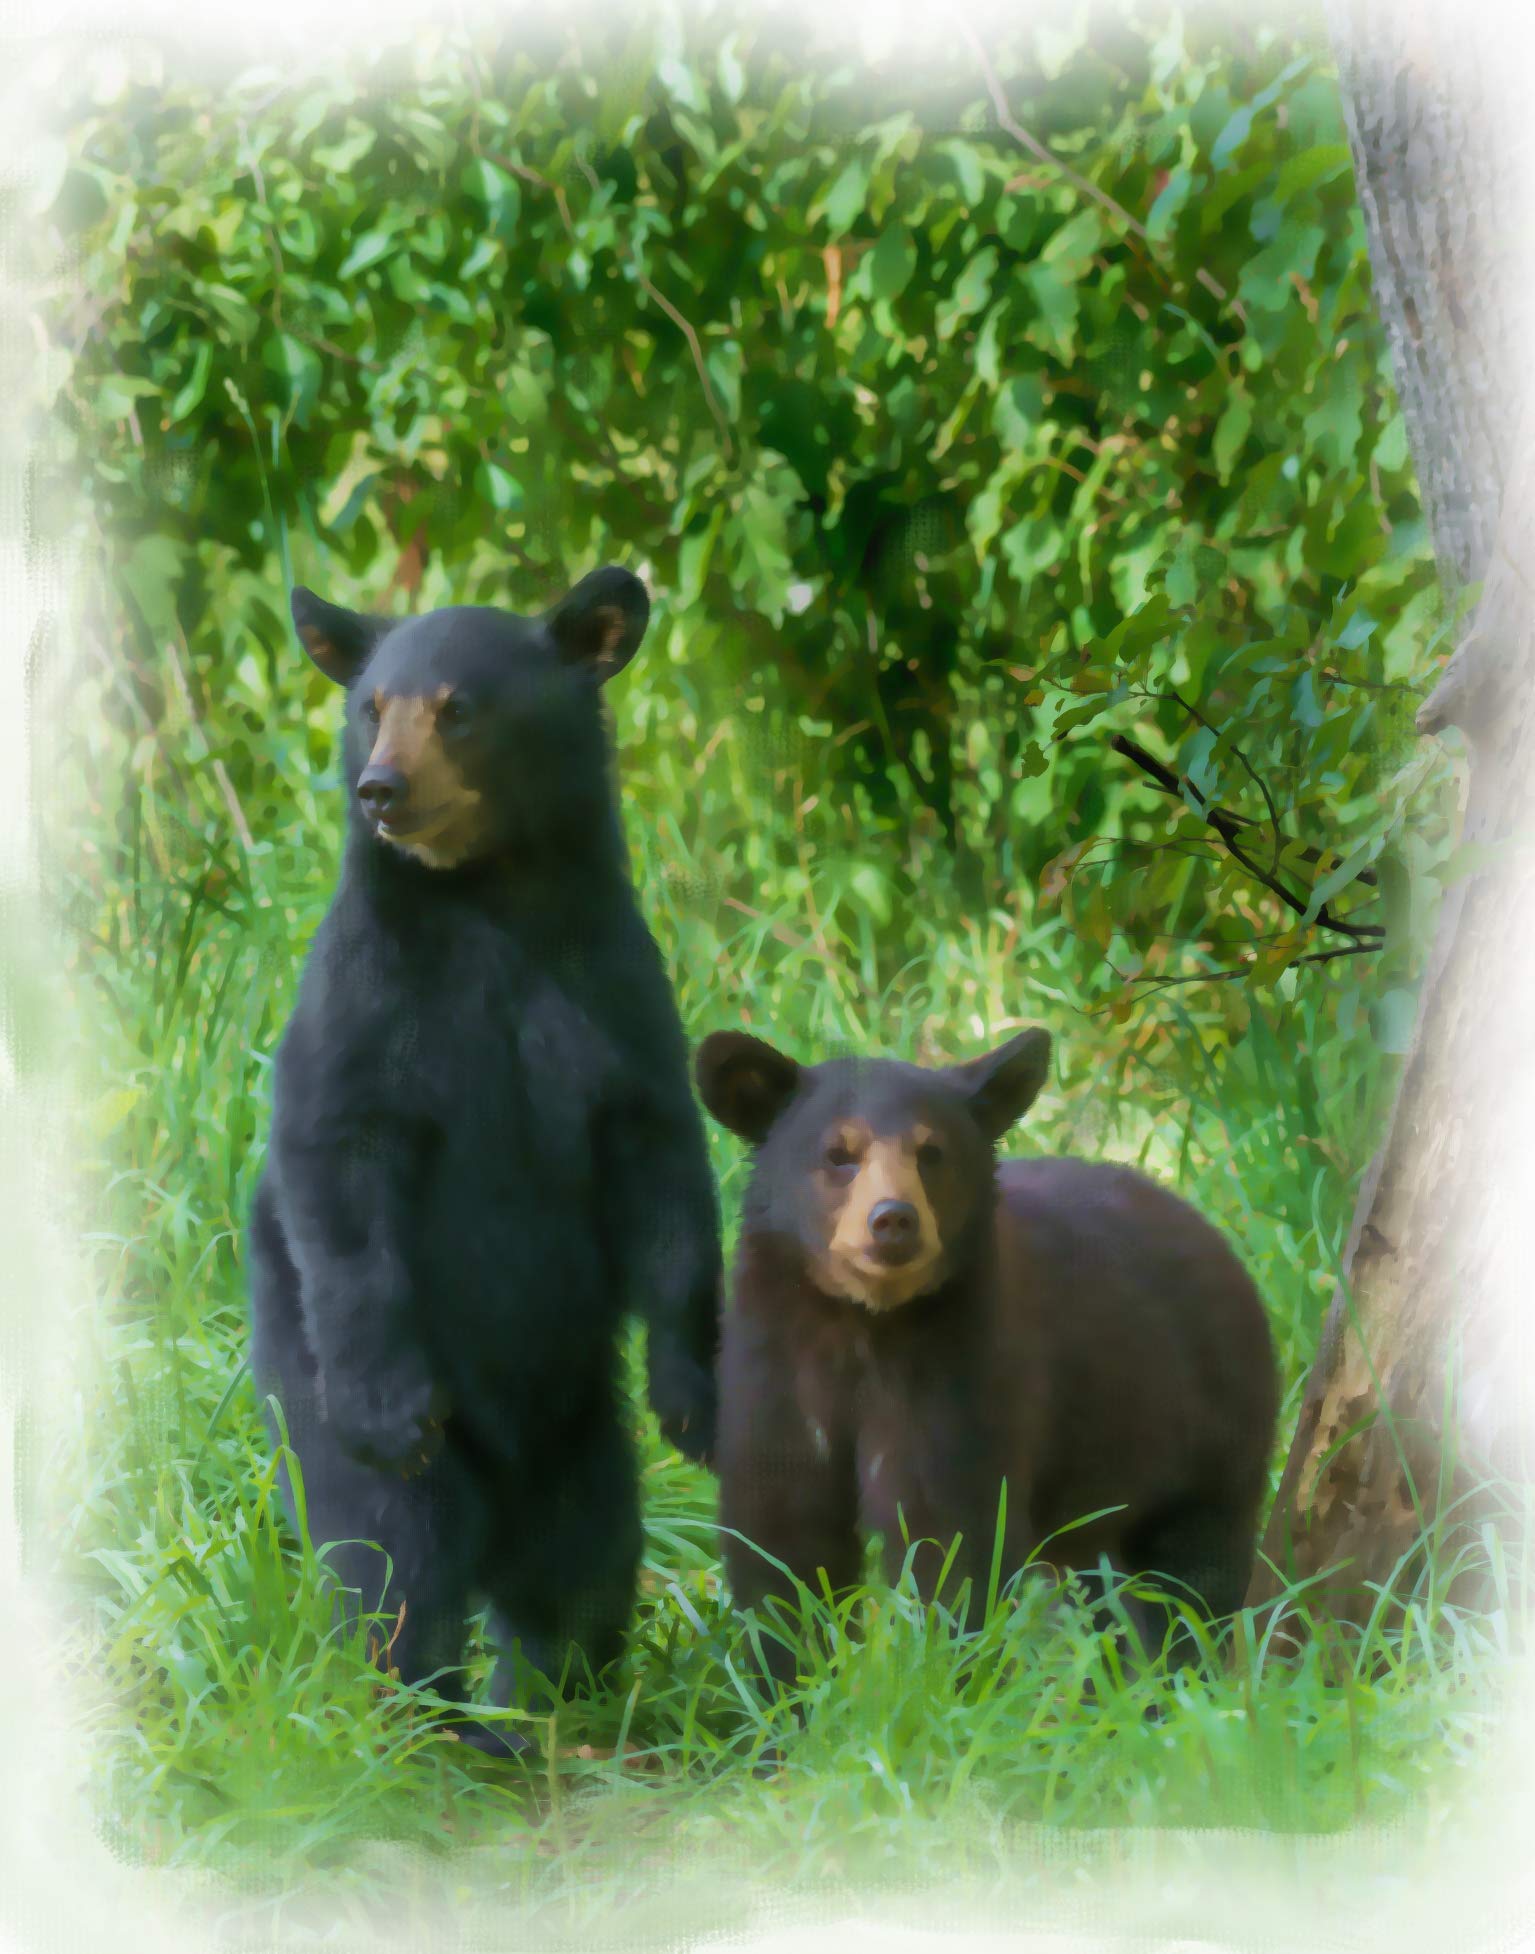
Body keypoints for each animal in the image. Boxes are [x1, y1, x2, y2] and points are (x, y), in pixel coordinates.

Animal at [247, 565, 721, 1755]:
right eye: (371, 705)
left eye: (457, 708)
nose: (380, 788)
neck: (489, 900)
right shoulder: (364, 996)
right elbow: (337, 1164)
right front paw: (387, 1402)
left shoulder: (614, 985)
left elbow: (666, 1179)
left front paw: (697, 1396)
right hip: (324, 1413)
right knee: (395, 1564)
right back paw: (438, 1726)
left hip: (581, 1431)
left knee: (585, 1563)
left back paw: (563, 1706)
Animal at [694, 1025, 1277, 1689]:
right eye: (839, 1153)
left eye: (931, 1151)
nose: (893, 1220)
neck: (866, 1325)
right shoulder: (774, 1368)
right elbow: (783, 1540)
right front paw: (786, 1687)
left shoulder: (960, 1367)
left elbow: (952, 1536)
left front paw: (945, 1678)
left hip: (1208, 1429)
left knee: (1192, 1573)